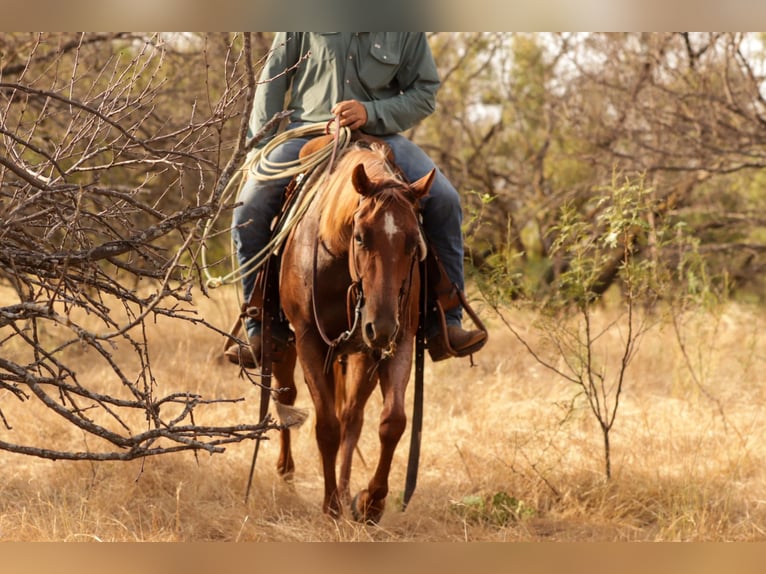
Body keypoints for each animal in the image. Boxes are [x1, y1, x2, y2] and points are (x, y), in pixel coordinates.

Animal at [270, 142, 435, 523]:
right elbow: (326, 426)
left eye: (413, 243)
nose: (382, 324)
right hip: (285, 344)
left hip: (361, 353)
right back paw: (286, 473)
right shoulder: (308, 340)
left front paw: (370, 502)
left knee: (351, 416)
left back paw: (345, 492)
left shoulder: (397, 341)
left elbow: (392, 421)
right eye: (361, 237)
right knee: (285, 397)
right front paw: (330, 506)